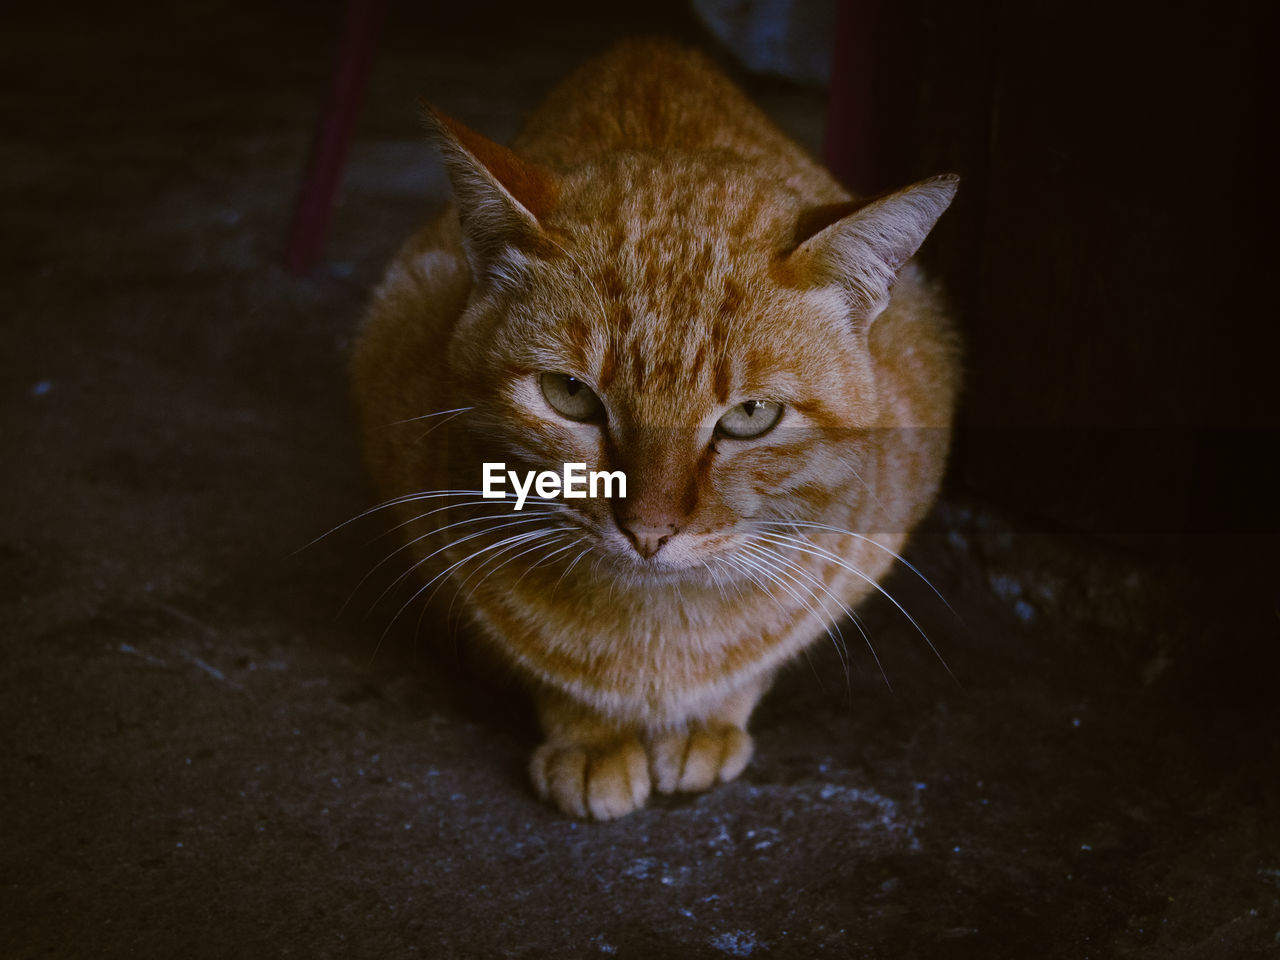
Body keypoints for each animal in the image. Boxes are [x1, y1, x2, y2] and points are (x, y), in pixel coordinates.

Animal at [353, 39, 962, 819]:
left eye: (751, 416)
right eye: (571, 396)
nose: (648, 530)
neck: (653, 634)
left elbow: (758, 660)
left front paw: (708, 719)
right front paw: (590, 736)